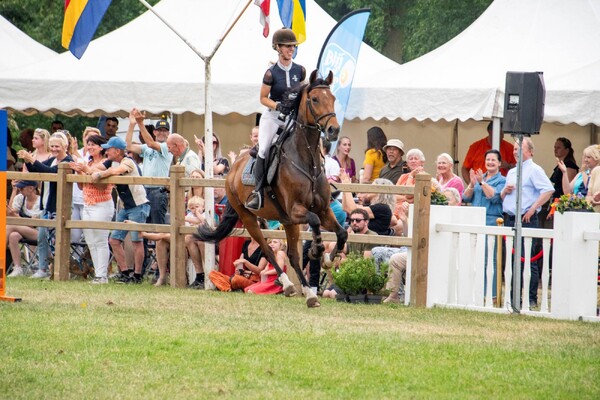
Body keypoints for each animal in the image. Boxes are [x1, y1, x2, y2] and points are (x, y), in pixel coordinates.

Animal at [197, 69, 346, 306]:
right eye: (314, 99)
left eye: (332, 98)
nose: (333, 130)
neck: (307, 161)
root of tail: (233, 169)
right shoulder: (296, 211)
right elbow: (314, 222)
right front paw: (317, 250)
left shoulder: (322, 210)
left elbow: (341, 233)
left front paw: (328, 260)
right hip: (249, 217)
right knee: (266, 249)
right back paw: (288, 285)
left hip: (286, 221)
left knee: (292, 255)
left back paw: (310, 294)